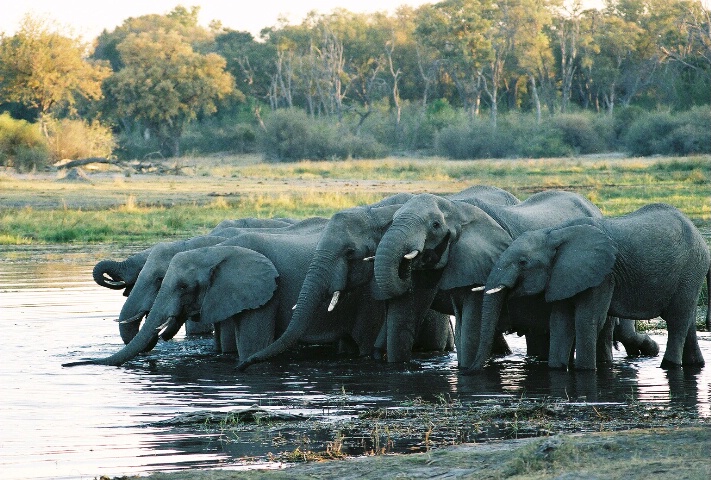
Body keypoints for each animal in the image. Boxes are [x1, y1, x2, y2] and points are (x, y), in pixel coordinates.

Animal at [372, 189, 608, 366]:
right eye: (391, 222)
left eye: (435, 225)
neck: (455, 207)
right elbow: (406, 313)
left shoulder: (484, 262)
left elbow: (472, 323)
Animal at [472, 202, 711, 372]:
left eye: (523, 262)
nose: (470, 371)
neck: (555, 233)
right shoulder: (564, 275)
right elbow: (560, 322)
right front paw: (558, 368)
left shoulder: (603, 274)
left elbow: (587, 319)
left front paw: (585, 370)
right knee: (687, 320)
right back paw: (695, 364)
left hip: (691, 269)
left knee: (677, 319)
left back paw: (669, 365)